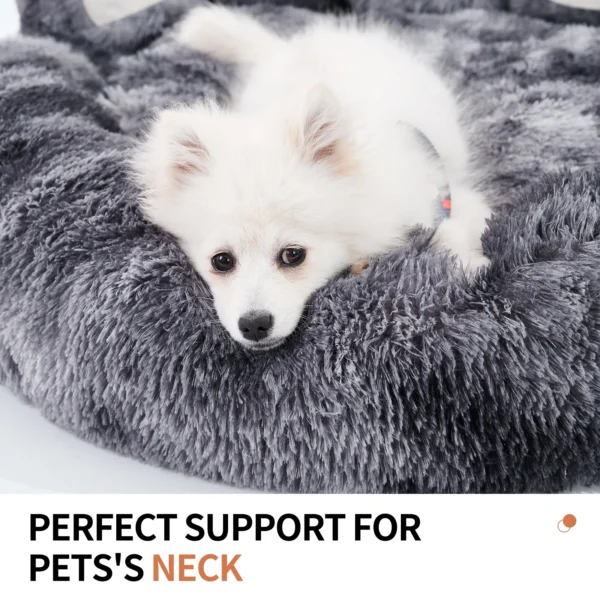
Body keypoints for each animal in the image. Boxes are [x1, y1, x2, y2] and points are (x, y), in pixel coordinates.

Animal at [134, 4, 490, 350]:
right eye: (222, 261)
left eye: (293, 255)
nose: (254, 324)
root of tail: (284, 48)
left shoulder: (444, 196)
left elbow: (454, 231)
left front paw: (468, 263)